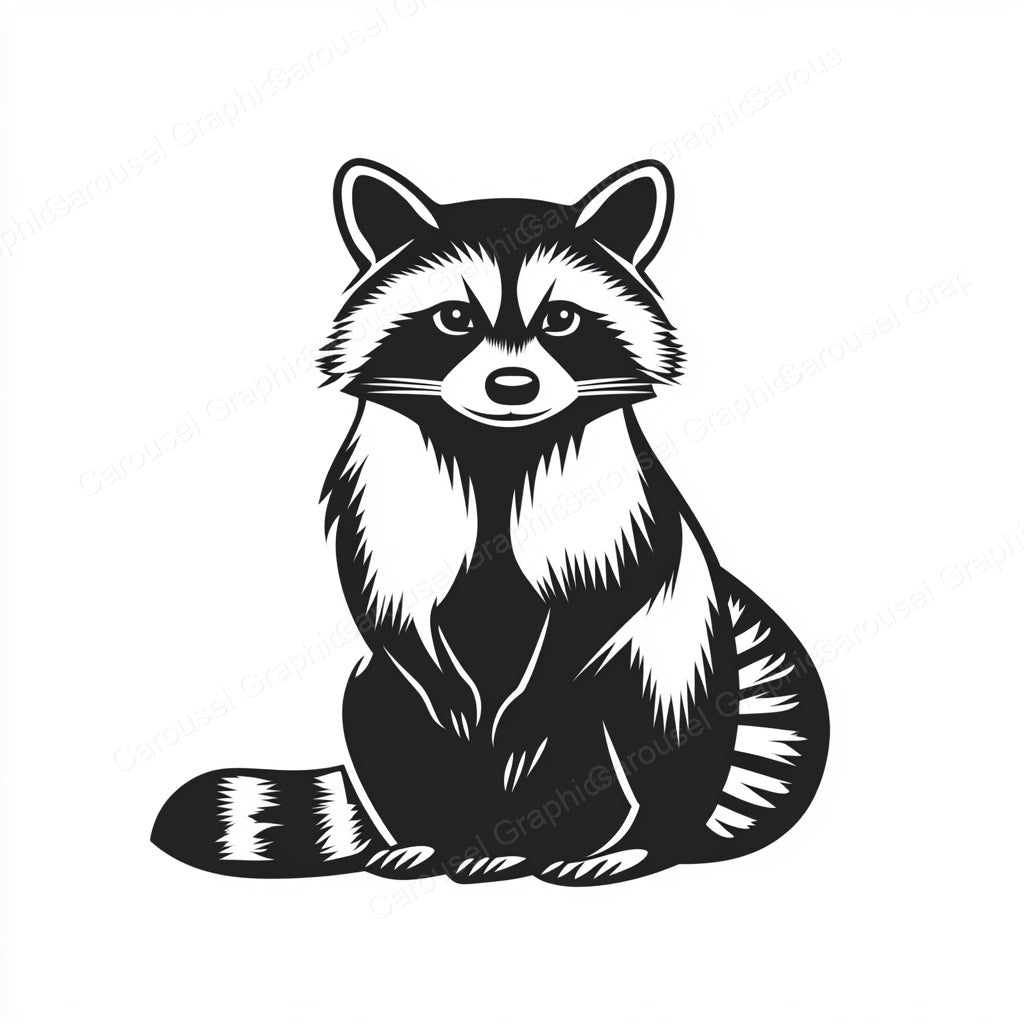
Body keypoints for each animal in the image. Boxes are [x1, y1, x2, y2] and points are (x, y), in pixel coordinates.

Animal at [152, 159, 829, 885]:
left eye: (561, 319)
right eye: (455, 318)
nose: (511, 385)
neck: (494, 447)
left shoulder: (608, 506)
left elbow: (594, 604)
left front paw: (533, 704)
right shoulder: (393, 493)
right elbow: (390, 605)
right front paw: (440, 679)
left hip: (671, 662)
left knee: (649, 724)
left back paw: (615, 843)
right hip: (395, 714)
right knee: (381, 708)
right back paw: (446, 843)